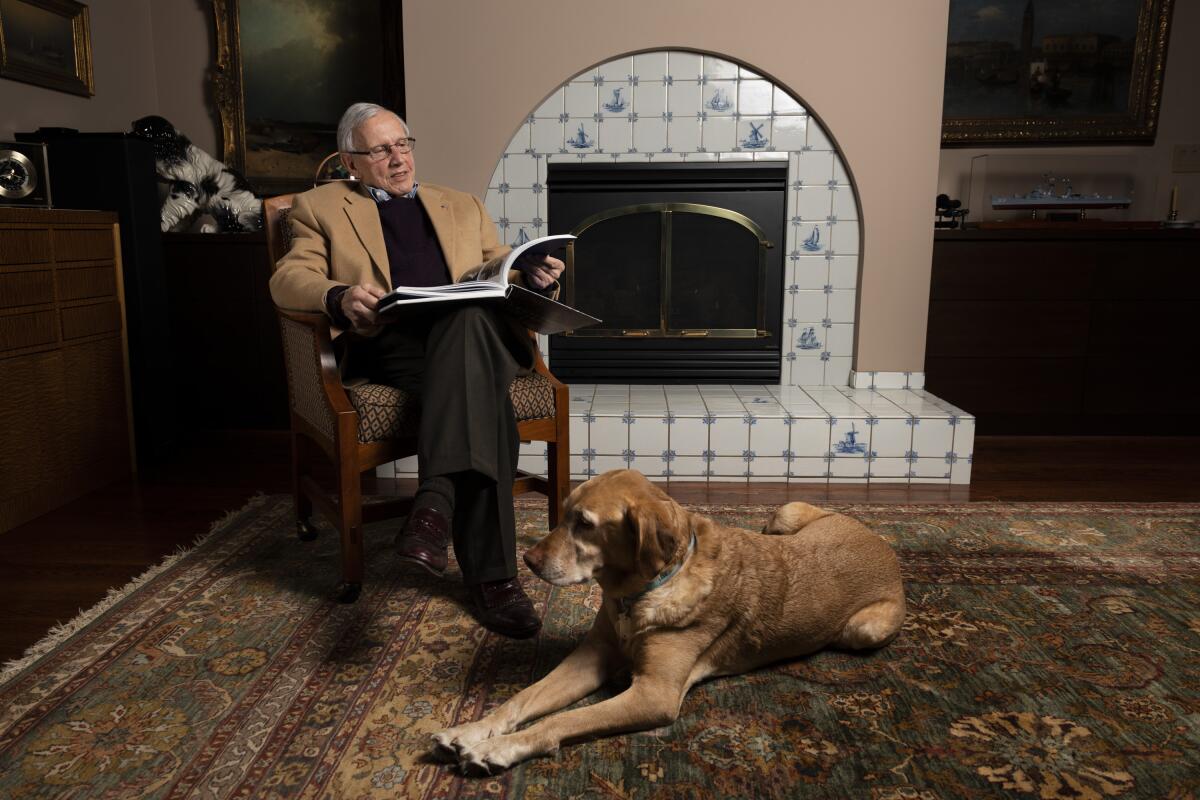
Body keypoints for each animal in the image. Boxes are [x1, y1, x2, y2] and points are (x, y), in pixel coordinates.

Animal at [429, 470, 902, 777]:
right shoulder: (591, 657)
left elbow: (558, 722)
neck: (639, 594)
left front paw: (499, 748)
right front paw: (472, 729)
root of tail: (882, 542)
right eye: (563, 513)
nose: (527, 561)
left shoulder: (654, 694)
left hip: (864, 630)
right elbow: (523, 698)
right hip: (786, 514)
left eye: (584, 524)